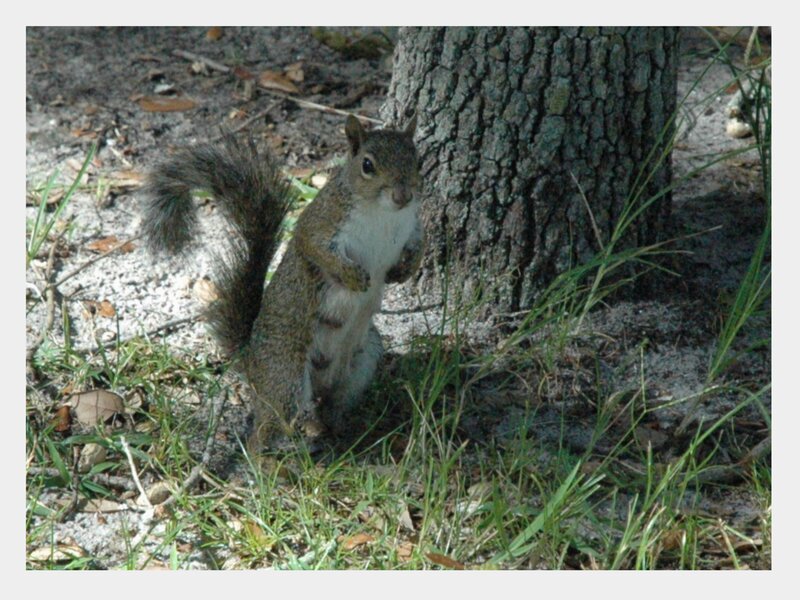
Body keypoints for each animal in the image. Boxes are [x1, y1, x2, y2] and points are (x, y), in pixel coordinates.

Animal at [142, 114, 423, 454]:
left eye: (418, 160)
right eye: (367, 165)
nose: (403, 196)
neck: (384, 215)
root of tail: (251, 361)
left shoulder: (411, 227)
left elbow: (419, 247)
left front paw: (404, 270)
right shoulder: (321, 222)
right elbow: (313, 247)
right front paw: (352, 276)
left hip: (364, 358)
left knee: (331, 406)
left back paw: (341, 432)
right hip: (286, 374)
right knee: (263, 430)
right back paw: (266, 460)